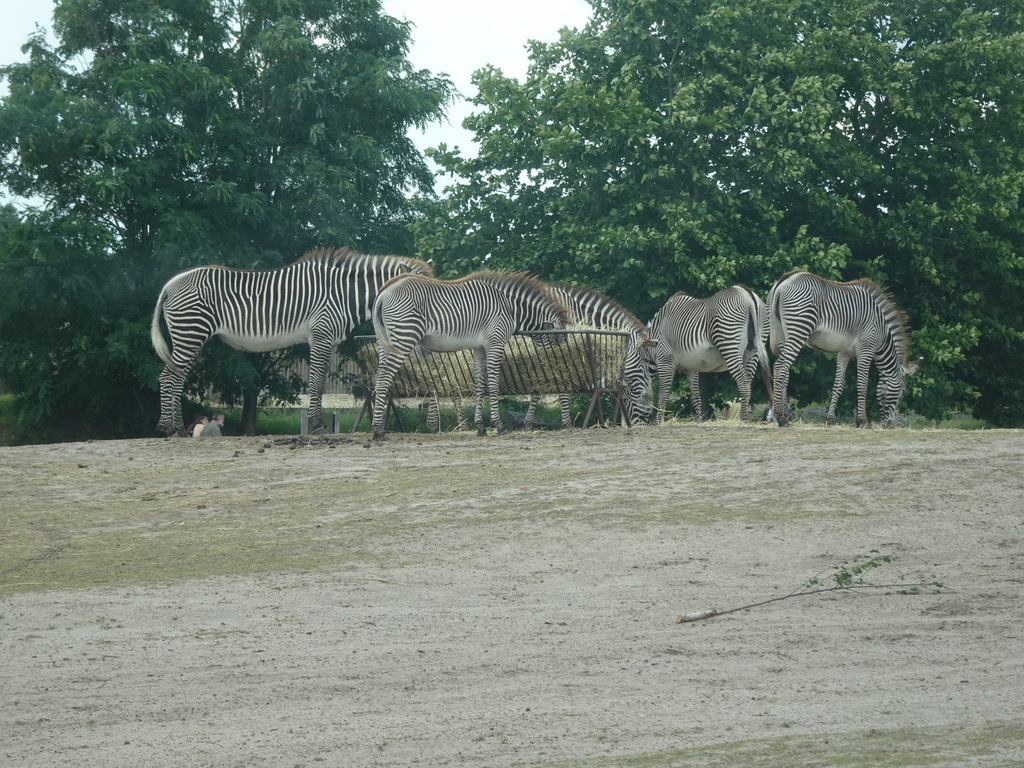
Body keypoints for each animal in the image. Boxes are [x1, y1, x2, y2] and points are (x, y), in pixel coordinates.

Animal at [149, 249, 430, 436]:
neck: (343, 293)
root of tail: (169, 285)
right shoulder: (321, 335)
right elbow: (316, 382)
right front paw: (318, 426)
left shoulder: (326, 339)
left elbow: (319, 382)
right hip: (191, 332)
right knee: (168, 377)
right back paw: (169, 428)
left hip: (190, 335)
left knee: (175, 377)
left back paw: (175, 427)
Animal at [372, 272, 573, 442]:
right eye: (558, 339)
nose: (560, 358)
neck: (509, 307)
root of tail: (384, 291)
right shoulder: (495, 342)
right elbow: (493, 383)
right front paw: (499, 426)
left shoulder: (479, 348)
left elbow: (480, 384)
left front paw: (480, 427)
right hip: (404, 336)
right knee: (384, 378)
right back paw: (377, 431)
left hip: (385, 342)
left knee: (379, 375)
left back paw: (380, 428)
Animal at [524, 282, 651, 430]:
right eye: (645, 361)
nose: (643, 425)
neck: (579, 316)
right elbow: (562, 390)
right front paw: (567, 424)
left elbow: (538, 389)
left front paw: (528, 424)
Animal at [643, 286, 770, 423]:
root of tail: (746, 293)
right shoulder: (691, 367)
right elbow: (695, 396)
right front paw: (698, 421)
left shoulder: (664, 359)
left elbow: (663, 392)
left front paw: (658, 421)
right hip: (753, 351)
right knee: (748, 382)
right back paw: (746, 419)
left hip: (729, 344)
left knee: (743, 383)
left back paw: (743, 420)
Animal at [770, 268, 921, 428]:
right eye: (901, 392)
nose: (890, 425)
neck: (882, 333)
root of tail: (786, 279)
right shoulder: (866, 349)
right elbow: (862, 384)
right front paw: (862, 421)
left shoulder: (844, 352)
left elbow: (838, 384)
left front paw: (830, 419)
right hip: (799, 328)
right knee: (780, 366)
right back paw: (781, 418)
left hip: (781, 333)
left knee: (785, 371)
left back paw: (786, 417)